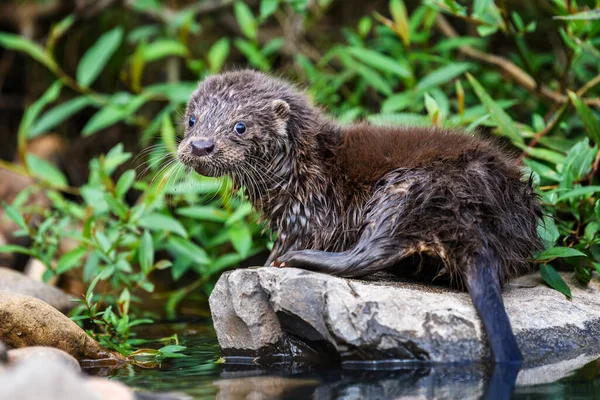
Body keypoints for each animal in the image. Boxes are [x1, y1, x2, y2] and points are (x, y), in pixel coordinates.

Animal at [178, 69, 544, 366]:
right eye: (192, 120)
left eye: (240, 126)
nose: (200, 145)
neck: (299, 168)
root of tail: (483, 220)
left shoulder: (305, 214)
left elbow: (293, 241)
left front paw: (271, 263)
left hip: (405, 188)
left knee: (372, 251)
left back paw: (300, 260)